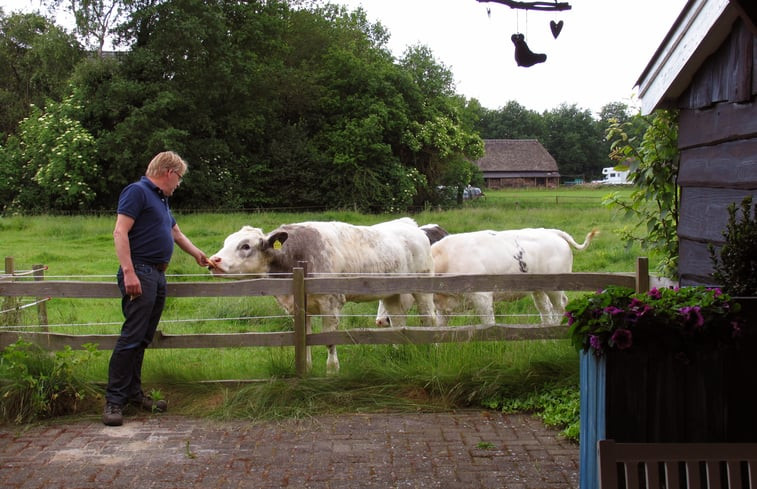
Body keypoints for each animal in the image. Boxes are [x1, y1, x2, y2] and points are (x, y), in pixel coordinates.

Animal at [208, 215, 438, 372]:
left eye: (245, 246)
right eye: (226, 242)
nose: (213, 260)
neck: (297, 257)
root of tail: (409, 224)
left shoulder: (331, 303)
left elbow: (329, 340)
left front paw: (332, 371)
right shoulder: (299, 307)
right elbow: (305, 339)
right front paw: (307, 368)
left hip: (423, 285)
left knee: (429, 319)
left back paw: (433, 349)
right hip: (391, 292)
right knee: (398, 322)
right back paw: (399, 352)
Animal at [376, 227, 596, 326]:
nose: (380, 321)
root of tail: (552, 232)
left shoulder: (482, 298)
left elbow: (488, 324)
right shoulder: (443, 308)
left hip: (555, 287)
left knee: (560, 306)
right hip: (538, 289)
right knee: (545, 309)